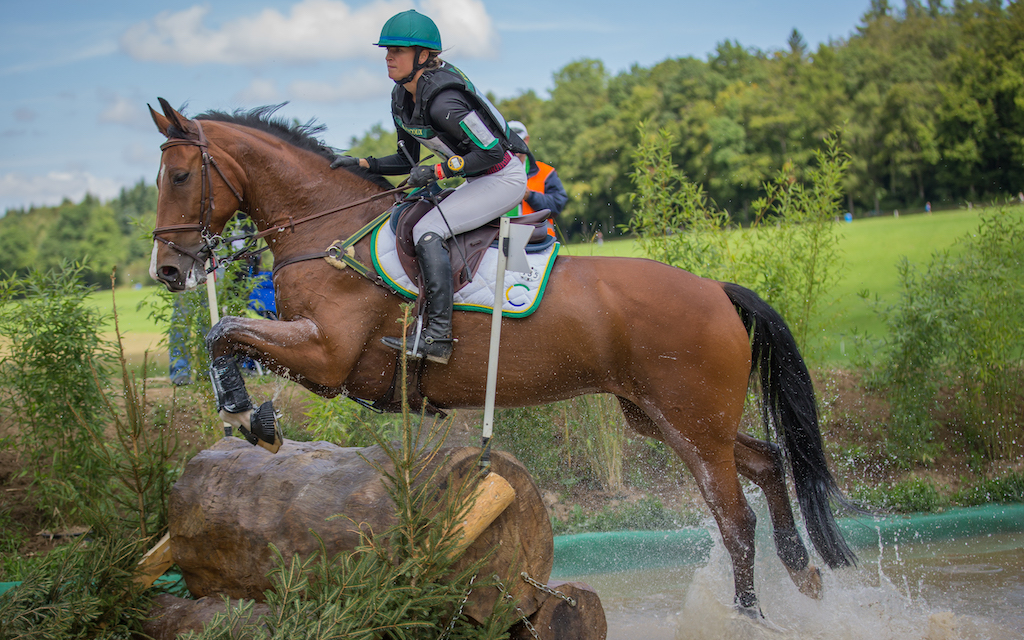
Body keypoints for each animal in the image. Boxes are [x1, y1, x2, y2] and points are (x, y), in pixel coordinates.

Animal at [148, 98, 851, 614]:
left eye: (180, 176)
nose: (167, 271)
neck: (325, 230)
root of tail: (716, 289)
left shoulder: (328, 357)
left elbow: (225, 331)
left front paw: (249, 416)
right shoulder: (318, 353)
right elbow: (229, 336)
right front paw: (249, 415)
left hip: (692, 426)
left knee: (736, 520)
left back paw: (752, 615)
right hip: (666, 418)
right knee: (769, 463)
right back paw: (807, 584)